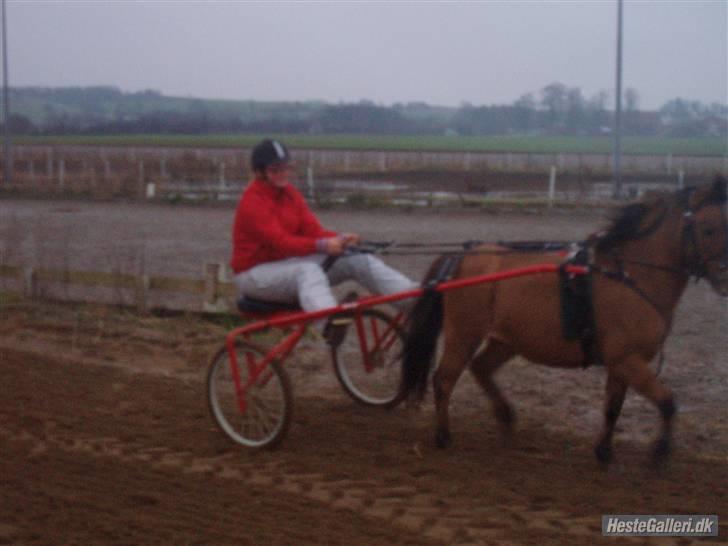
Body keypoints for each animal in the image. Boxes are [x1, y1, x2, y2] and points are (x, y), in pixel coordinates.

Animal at [400, 175, 724, 464]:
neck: (630, 275)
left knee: (481, 368)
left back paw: (506, 418)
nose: (725, 278)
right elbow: (667, 402)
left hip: (507, 340)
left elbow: (614, 407)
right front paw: (659, 451)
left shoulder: (622, 363)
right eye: (709, 229)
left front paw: (604, 452)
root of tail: (461, 256)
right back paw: (443, 436)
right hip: (464, 333)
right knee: (444, 379)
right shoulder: (626, 358)